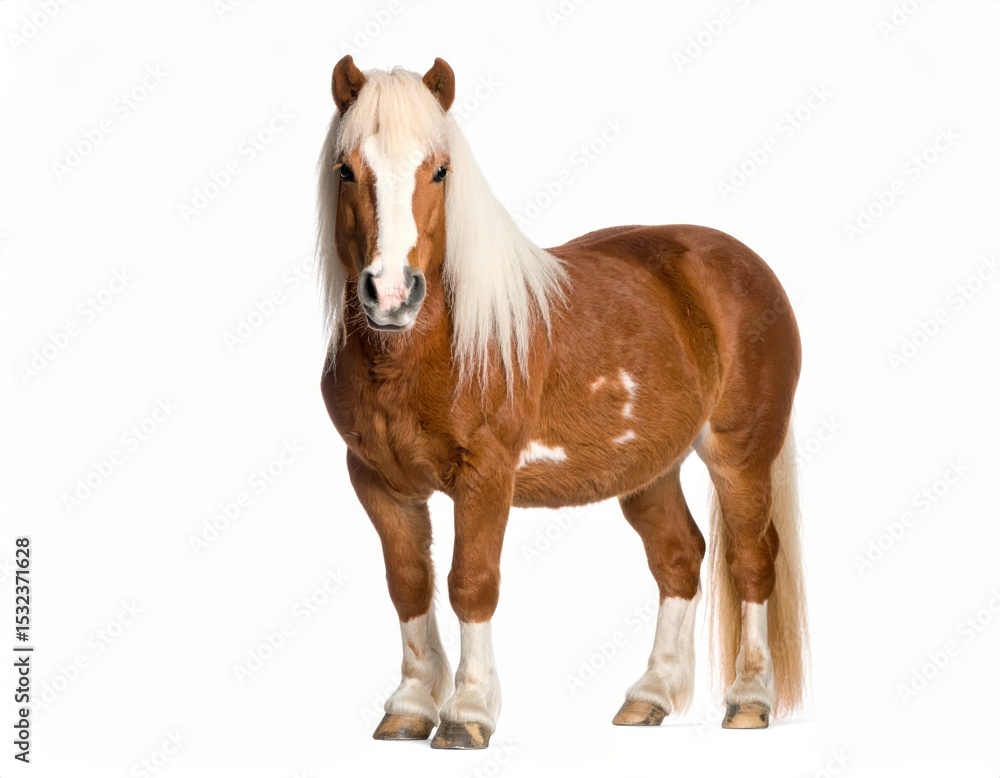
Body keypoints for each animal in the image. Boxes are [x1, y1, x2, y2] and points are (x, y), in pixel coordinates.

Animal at [317, 55, 808, 749]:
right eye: (346, 169)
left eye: (439, 170)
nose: (390, 293)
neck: (422, 352)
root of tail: (742, 263)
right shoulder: (377, 481)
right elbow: (409, 585)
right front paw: (410, 706)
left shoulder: (486, 476)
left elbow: (471, 583)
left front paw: (467, 713)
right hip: (649, 469)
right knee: (679, 557)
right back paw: (649, 696)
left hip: (740, 454)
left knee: (752, 561)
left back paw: (748, 699)